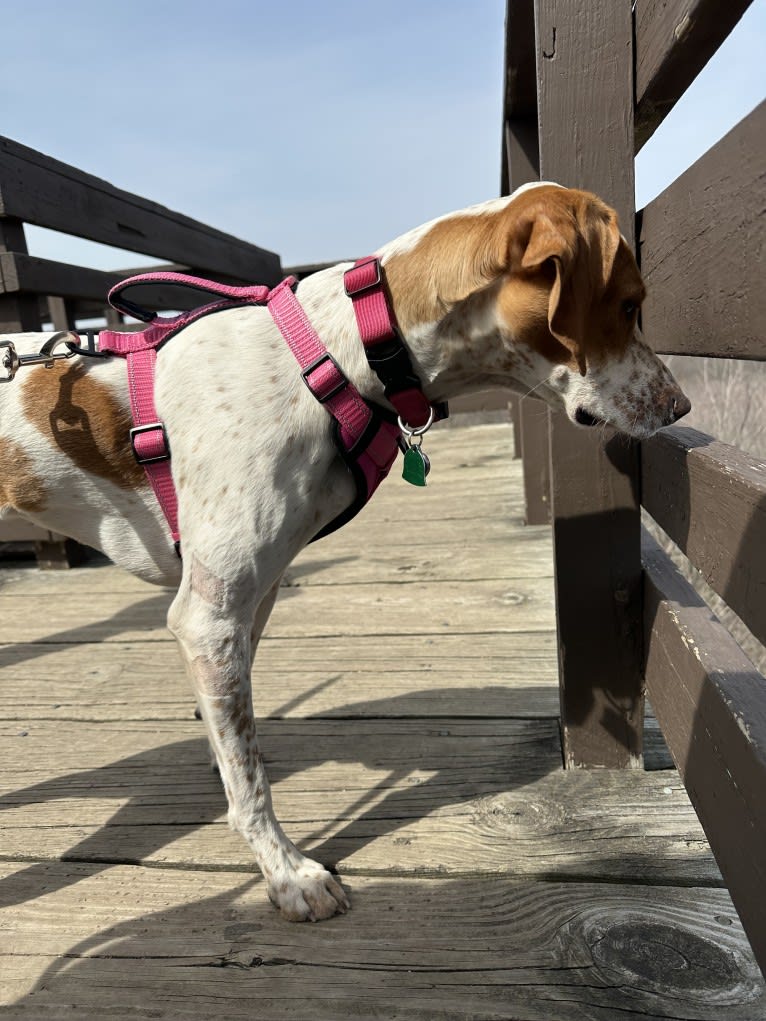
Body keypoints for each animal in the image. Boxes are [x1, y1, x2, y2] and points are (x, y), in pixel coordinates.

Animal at [0, 183, 694, 927]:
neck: (337, 356)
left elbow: (236, 736)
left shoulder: (252, 597)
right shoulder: (209, 614)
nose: (681, 405)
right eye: (630, 303)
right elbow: (250, 779)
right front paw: (286, 872)